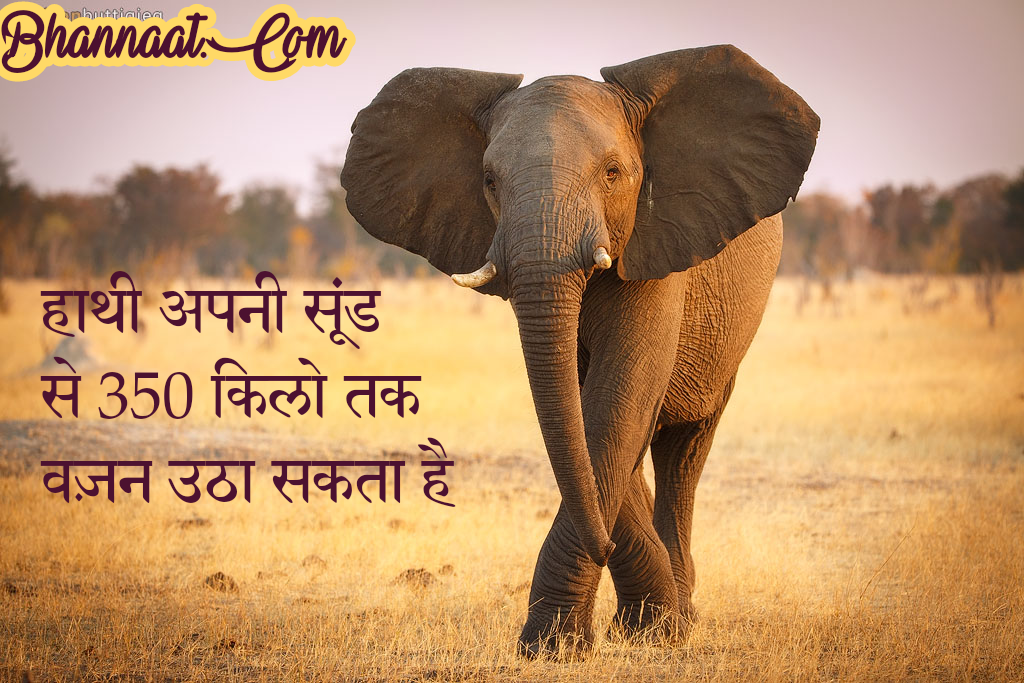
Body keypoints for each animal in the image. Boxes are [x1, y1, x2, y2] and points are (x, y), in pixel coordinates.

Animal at [341, 45, 819, 656]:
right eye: (489, 181)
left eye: (613, 173)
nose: (604, 548)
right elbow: (590, 414)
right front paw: (578, 641)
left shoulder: (654, 242)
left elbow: (617, 404)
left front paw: (615, 638)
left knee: (684, 449)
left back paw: (682, 618)